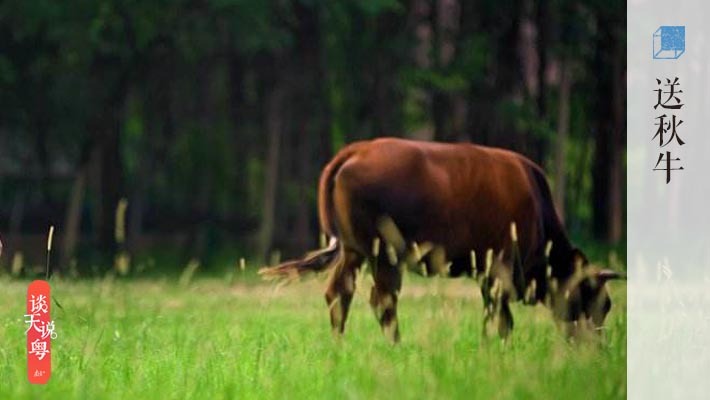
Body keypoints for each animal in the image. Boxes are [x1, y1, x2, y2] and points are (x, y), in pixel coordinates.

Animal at [260, 138, 624, 340]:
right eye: (599, 302)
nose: (595, 345)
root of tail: (357, 151)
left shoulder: (486, 274)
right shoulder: (497, 271)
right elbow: (502, 319)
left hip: (354, 252)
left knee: (340, 294)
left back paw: (340, 345)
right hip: (384, 256)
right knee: (383, 300)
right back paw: (396, 345)